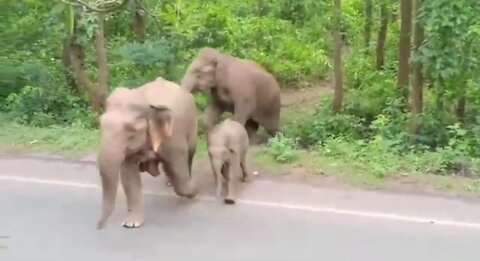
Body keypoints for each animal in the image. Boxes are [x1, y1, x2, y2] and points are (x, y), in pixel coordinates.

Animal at [96, 76, 198, 229]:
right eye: (101, 124)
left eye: (131, 131)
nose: (98, 227)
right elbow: (128, 176)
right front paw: (131, 224)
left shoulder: (173, 137)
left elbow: (178, 170)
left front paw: (194, 191)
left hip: (193, 122)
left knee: (190, 152)